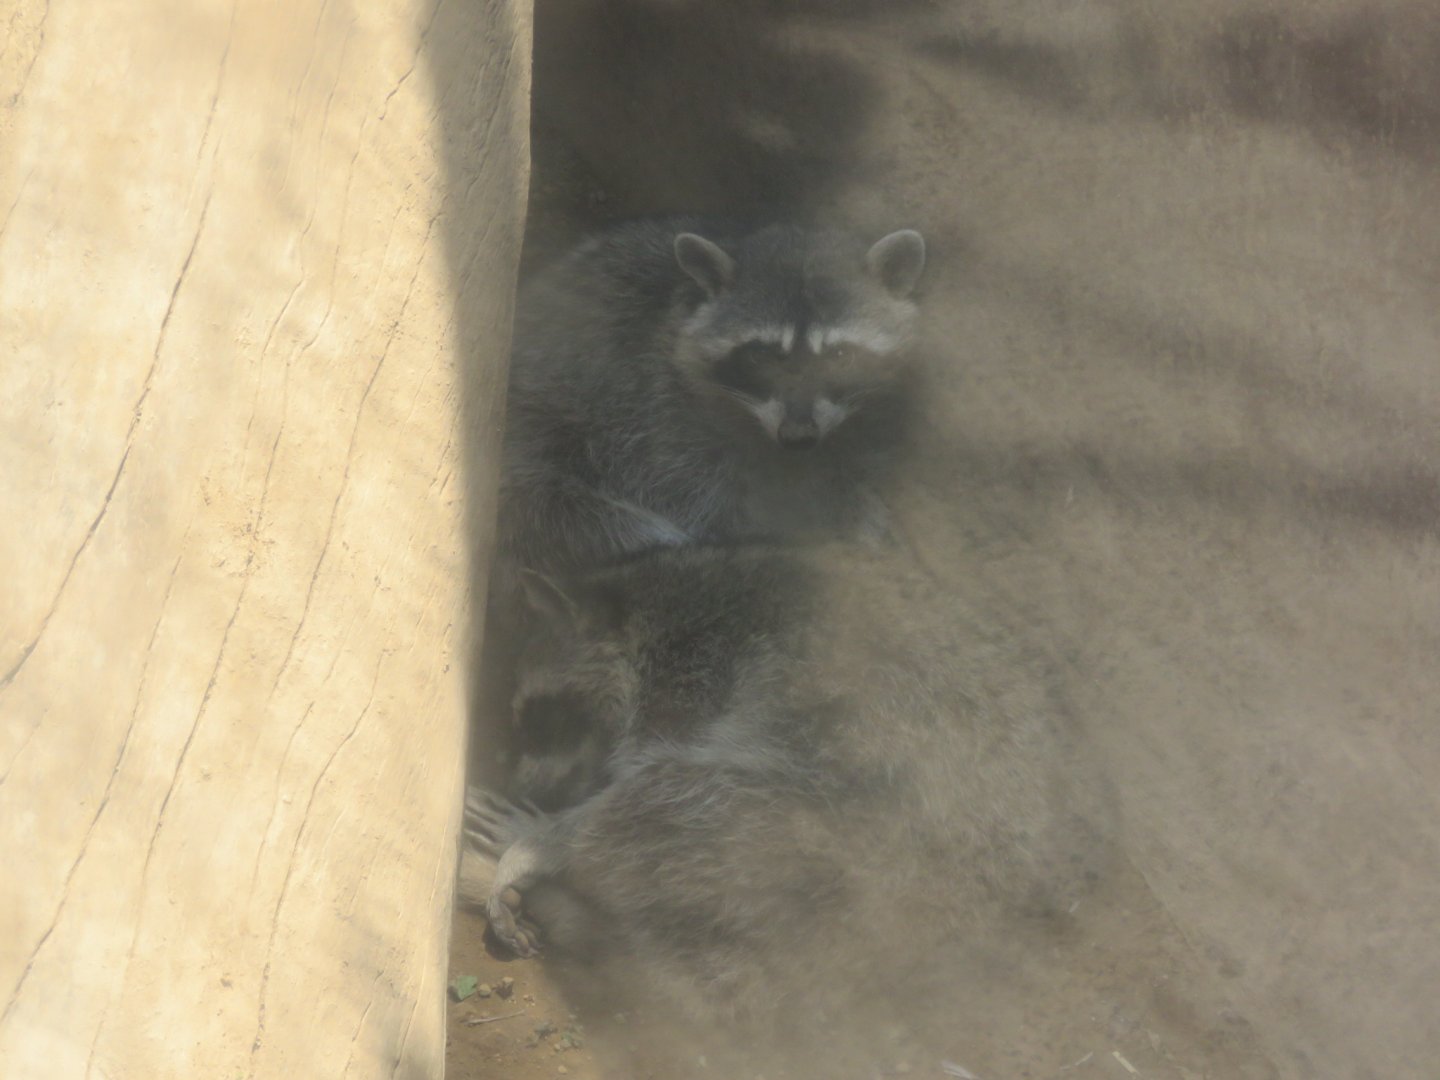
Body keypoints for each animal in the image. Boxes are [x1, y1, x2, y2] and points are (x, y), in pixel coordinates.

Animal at [464, 543, 1113, 1057]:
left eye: (536, 716)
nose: (529, 787)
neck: (662, 600)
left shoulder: (689, 685)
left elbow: (646, 772)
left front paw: (548, 833)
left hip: (846, 832)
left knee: (668, 802)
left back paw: (545, 845)